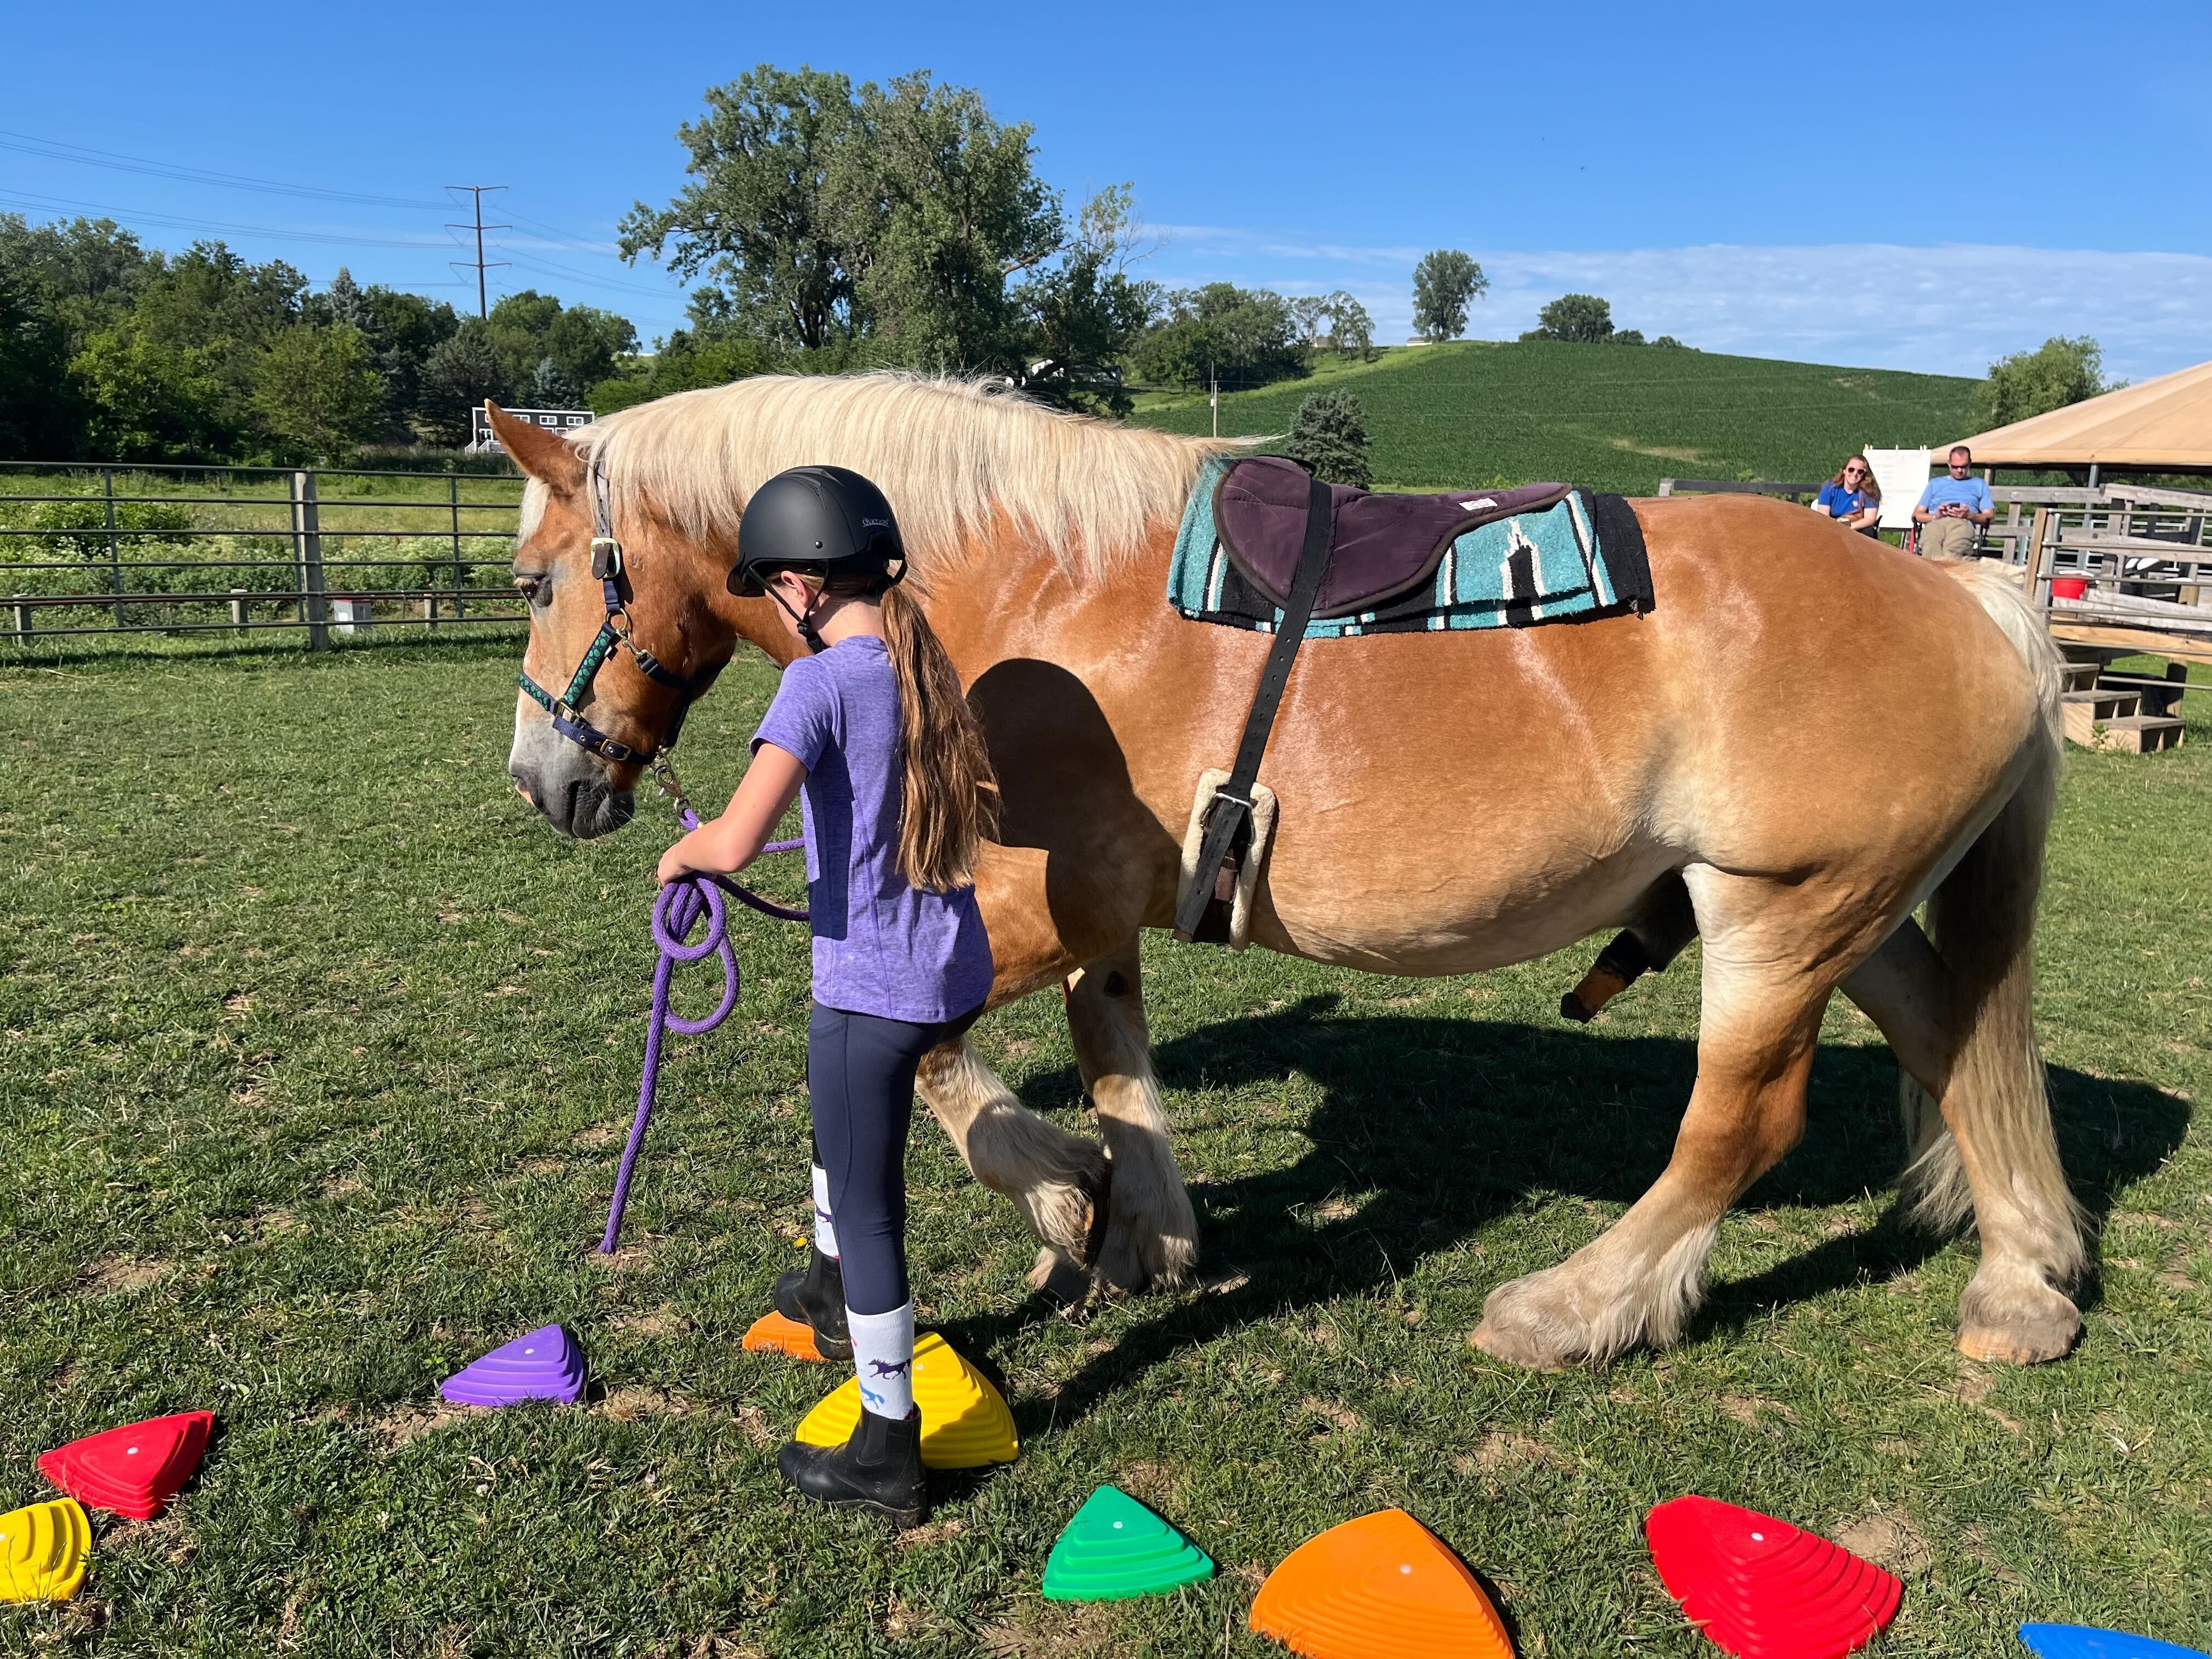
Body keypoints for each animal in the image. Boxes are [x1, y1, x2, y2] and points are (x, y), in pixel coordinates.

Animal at [494, 374, 2087, 1370]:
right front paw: (1142, 1227)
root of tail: (1967, 593)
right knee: (1956, 1041)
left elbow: (936, 1058)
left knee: (1740, 1128)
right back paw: (2022, 1280)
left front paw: (1065, 1200)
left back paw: (1580, 1308)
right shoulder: (1100, 911)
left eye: (539, 577)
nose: (542, 780)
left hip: (1781, 919)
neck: (1029, 588)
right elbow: (1116, 1056)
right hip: (1842, 915)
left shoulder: (1023, 909)